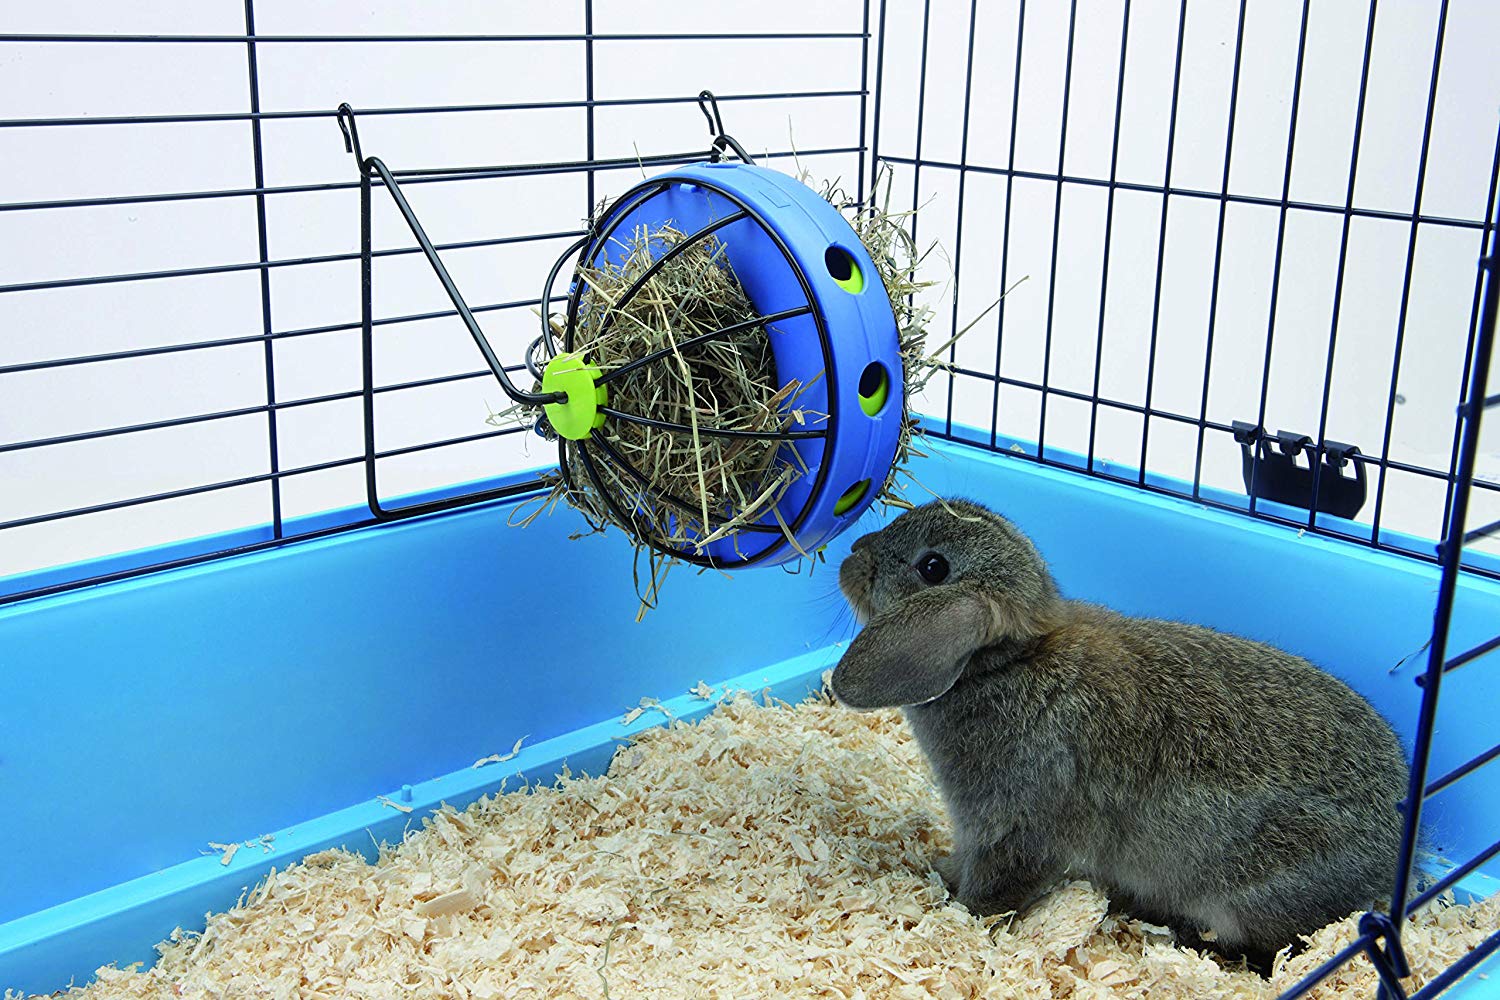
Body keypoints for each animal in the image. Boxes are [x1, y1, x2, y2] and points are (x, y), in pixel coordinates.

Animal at [829, 497, 1409, 970]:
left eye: (933, 567)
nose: (853, 554)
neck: (1006, 664)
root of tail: (1392, 855)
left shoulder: (1019, 829)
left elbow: (997, 887)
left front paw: (961, 912)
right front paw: (940, 871)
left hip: (1250, 896)